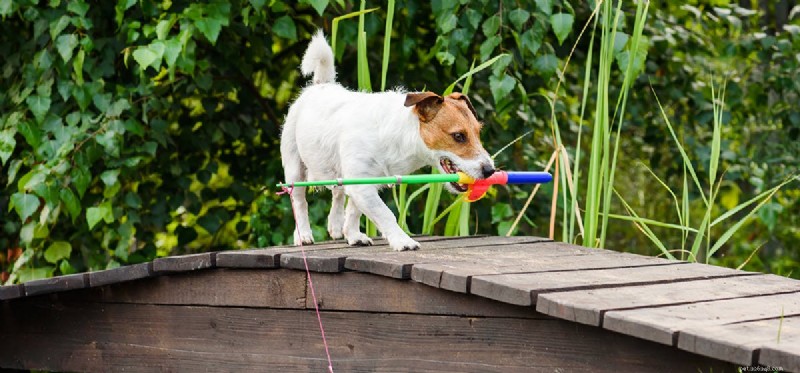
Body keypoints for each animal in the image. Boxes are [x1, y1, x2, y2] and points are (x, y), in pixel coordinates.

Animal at [280, 29, 494, 250]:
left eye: (478, 132)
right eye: (458, 136)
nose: (490, 170)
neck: (398, 136)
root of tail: (321, 85)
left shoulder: (365, 182)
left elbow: (354, 210)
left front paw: (353, 234)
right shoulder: (361, 183)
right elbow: (385, 214)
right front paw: (403, 240)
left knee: (338, 193)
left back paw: (337, 226)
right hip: (295, 168)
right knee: (299, 201)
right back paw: (303, 235)